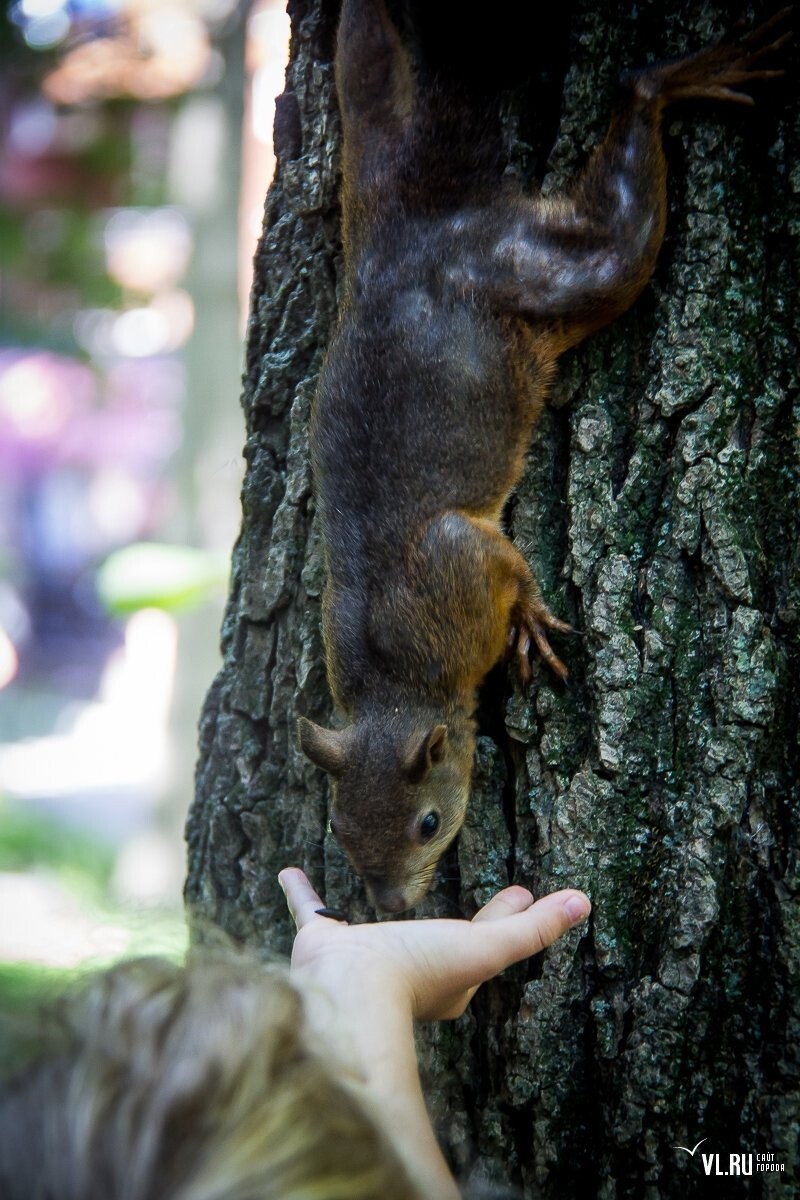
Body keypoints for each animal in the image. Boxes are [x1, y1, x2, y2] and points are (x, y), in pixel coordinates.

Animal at [296, 0, 786, 907]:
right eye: (340, 832)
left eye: (429, 823)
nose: (388, 911)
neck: (396, 680)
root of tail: (419, 231)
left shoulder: (456, 562)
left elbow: (500, 560)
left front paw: (527, 619)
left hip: (555, 273)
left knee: (620, 219)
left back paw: (674, 78)